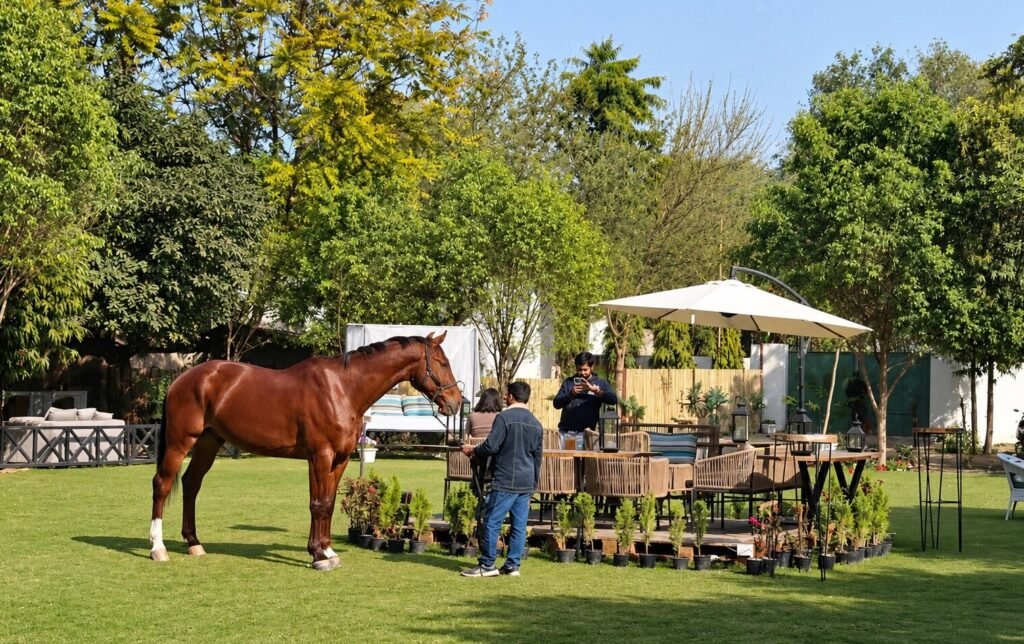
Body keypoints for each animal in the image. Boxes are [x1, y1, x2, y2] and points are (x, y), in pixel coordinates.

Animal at [149, 332, 462, 570]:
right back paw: (158, 548)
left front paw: (328, 551)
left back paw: (194, 544)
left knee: (191, 484)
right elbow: (318, 504)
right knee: (162, 485)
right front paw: (318, 556)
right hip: (180, 442)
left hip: (208, 443)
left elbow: (329, 503)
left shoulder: (339, 460)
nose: (456, 402)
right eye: (442, 362)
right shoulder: (320, 456)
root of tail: (182, 379)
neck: (343, 389)